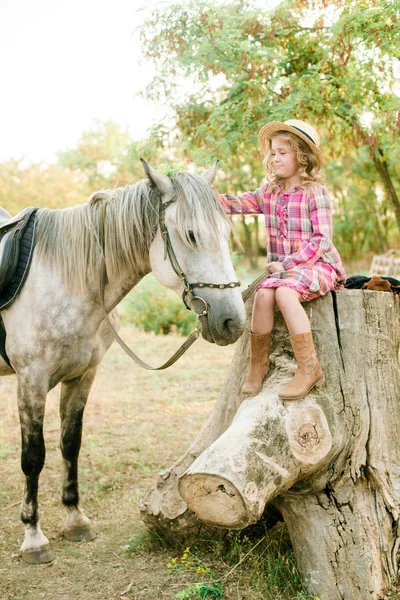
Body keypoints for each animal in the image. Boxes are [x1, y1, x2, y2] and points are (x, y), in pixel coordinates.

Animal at [0, 159, 245, 564]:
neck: (67, 278)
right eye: (191, 235)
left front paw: (75, 519)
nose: (233, 322)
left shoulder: (82, 376)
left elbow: (70, 444)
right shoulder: (31, 381)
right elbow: (33, 456)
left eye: (227, 232)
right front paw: (34, 537)